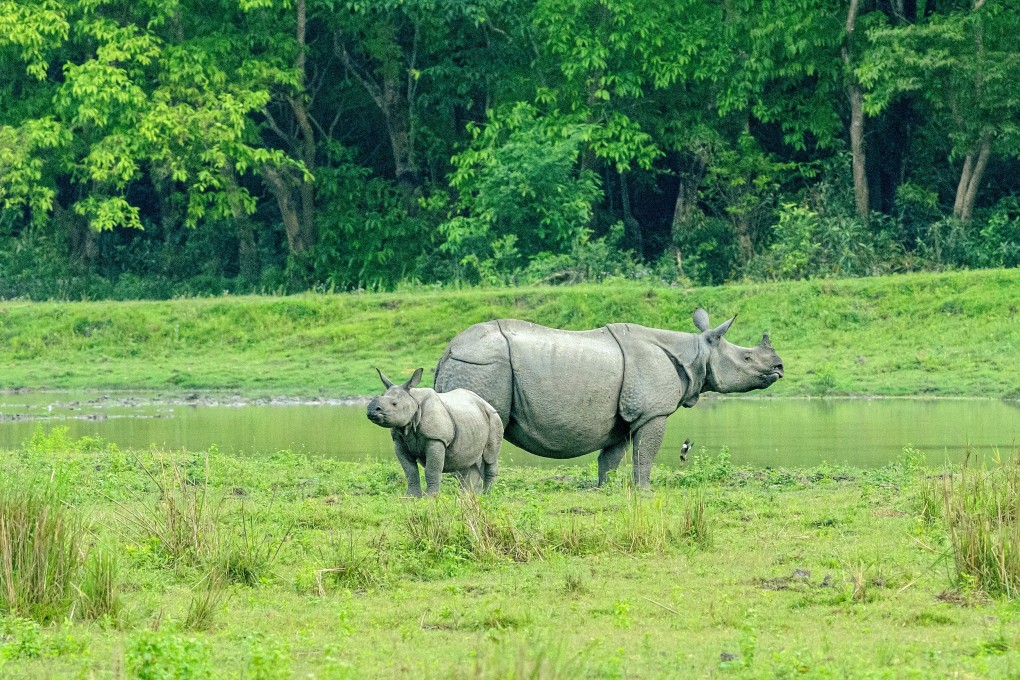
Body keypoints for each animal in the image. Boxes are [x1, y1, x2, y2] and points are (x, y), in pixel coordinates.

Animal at [367, 368, 503, 497]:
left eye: (394, 404)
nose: (371, 410)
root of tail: (485, 402)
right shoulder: (399, 441)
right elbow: (410, 470)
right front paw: (410, 497)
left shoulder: (436, 439)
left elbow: (432, 469)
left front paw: (430, 497)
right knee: (468, 461)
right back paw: (466, 496)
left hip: (494, 417)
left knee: (490, 457)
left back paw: (487, 495)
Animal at [433, 309, 783, 488]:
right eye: (748, 358)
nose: (779, 367)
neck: (697, 353)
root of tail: (448, 351)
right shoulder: (652, 412)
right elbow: (645, 454)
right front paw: (644, 491)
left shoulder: (623, 417)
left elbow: (611, 459)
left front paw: (605, 490)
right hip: (482, 366)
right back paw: (474, 491)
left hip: (472, 365)